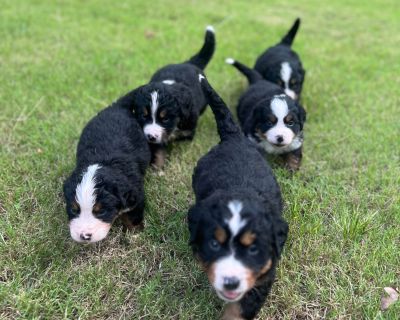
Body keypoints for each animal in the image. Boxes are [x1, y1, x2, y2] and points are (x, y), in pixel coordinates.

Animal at [63, 96, 151, 244]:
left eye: (101, 211)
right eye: (74, 210)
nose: (84, 236)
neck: (103, 161)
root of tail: (115, 107)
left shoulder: (136, 197)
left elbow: (132, 217)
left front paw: (134, 232)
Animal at [129, 25, 216, 168]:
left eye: (165, 119)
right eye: (144, 115)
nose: (151, 137)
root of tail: (188, 63)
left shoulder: (188, 130)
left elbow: (181, 142)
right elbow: (159, 151)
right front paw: (158, 168)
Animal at [188, 75, 288, 320]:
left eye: (253, 249)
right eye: (214, 244)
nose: (230, 283)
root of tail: (234, 137)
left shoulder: (264, 273)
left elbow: (241, 309)